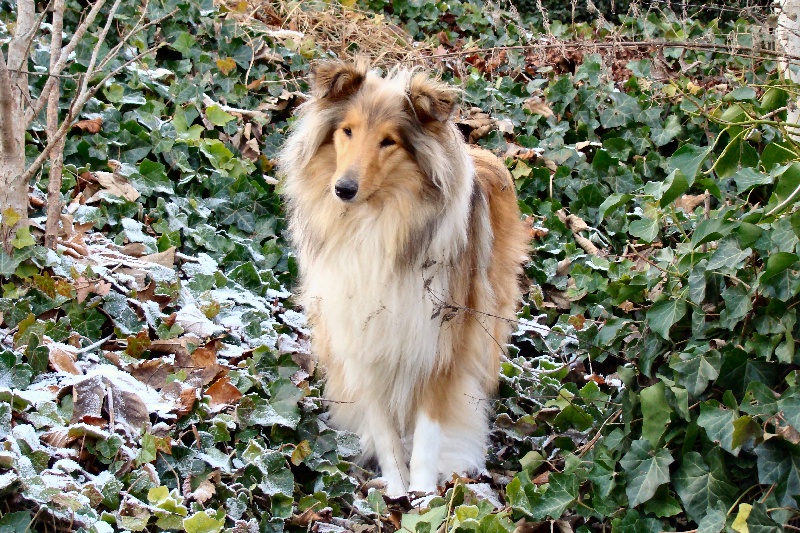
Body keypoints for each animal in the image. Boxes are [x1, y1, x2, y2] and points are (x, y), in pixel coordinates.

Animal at [279, 60, 528, 497]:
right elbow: (382, 427)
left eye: (388, 141)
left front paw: (423, 496)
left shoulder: (439, 341)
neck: (376, 222)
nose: (343, 189)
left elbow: (429, 430)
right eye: (347, 131)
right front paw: (397, 490)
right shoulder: (362, 340)